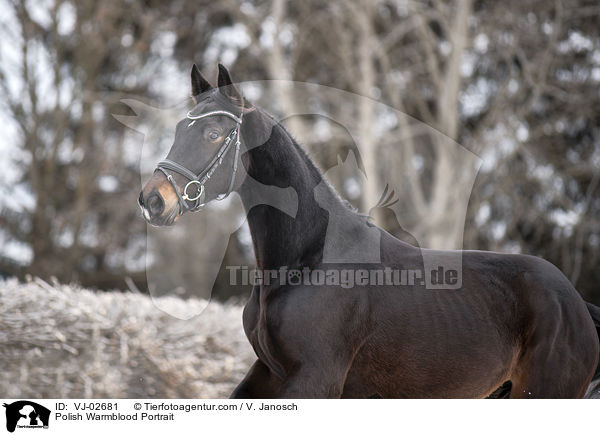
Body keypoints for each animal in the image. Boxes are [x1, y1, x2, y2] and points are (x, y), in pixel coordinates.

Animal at [137, 63, 600, 400]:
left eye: (214, 133)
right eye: (179, 130)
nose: (153, 199)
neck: (307, 262)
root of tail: (577, 304)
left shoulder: (315, 379)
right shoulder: (268, 373)